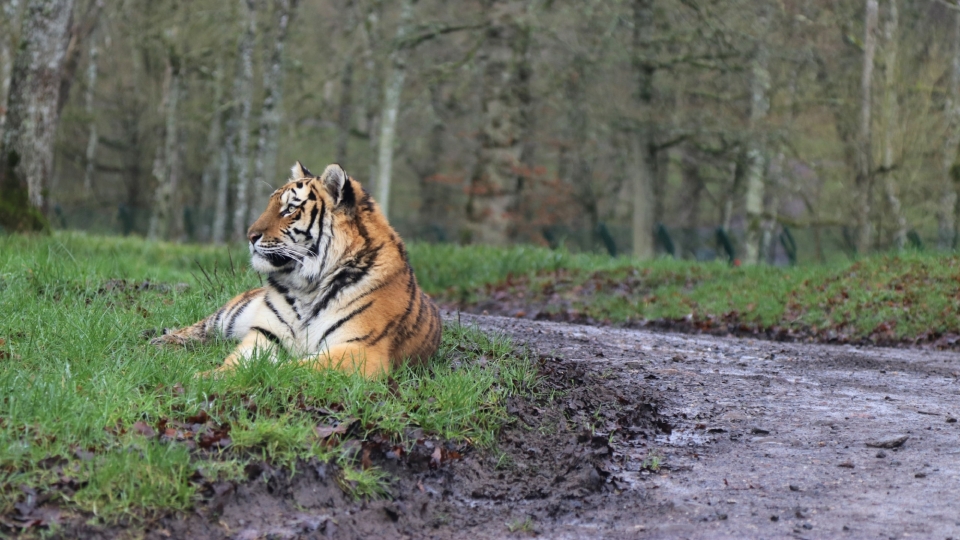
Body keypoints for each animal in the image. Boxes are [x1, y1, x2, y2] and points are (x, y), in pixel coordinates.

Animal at [152, 162, 444, 378]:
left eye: (289, 209)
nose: (250, 235)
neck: (308, 286)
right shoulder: (266, 334)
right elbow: (239, 361)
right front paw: (212, 376)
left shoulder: (360, 349)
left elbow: (296, 368)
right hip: (230, 315)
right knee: (201, 327)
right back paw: (160, 343)